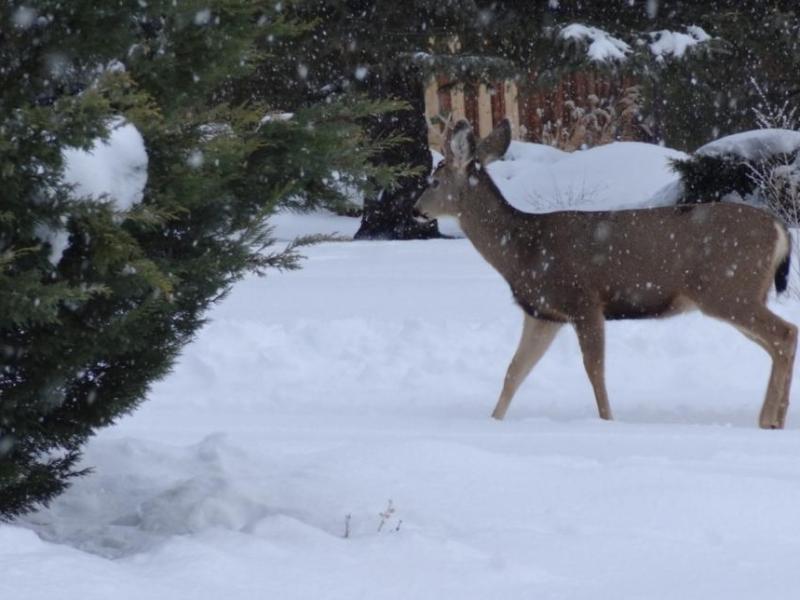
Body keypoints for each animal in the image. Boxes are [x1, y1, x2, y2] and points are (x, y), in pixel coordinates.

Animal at [414, 118, 797, 429]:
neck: (523, 251)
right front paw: (493, 422)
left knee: (785, 333)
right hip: (741, 294)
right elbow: (514, 370)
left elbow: (594, 370)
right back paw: (773, 418)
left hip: (728, 290)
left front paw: (607, 422)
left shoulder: (584, 301)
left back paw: (769, 419)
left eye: (434, 180)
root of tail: (780, 229)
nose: (416, 209)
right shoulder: (543, 313)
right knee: (779, 340)